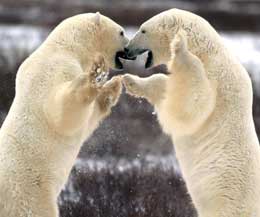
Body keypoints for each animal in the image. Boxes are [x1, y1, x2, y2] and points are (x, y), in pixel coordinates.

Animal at [0, 12, 127, 217]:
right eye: (121, 32)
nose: (130, 46)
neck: (65, 47)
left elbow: (88, 118)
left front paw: (113, 86)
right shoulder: (54, 70)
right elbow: (64, 112)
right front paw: (96, 73)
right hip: (28, 193)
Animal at [123, 8, 260, 217]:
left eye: (143, 30)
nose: (127, 49)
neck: (208, 54)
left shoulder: (220, 80)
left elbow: (195, 104)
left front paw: (180, 46)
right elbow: (168, 88)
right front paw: (131, 81)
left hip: (230, 204)